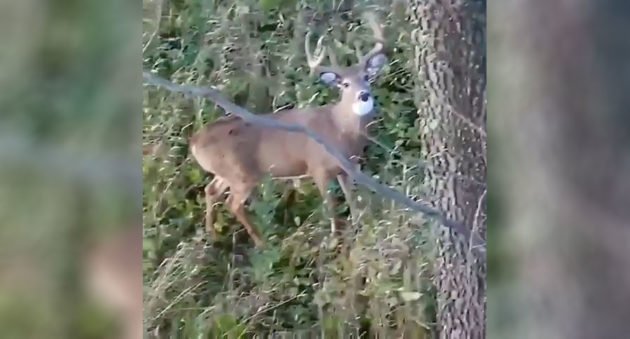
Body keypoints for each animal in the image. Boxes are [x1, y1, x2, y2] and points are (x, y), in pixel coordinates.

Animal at [190, 13, 388, 248]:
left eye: (366, 77)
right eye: (345, 84)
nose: (364, 95)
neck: (339, 130)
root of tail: (194, 142)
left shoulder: (346, 168)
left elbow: (352, 199)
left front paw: (360, 227)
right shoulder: (317, 168)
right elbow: (330, 206)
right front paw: (334, 240)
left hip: (226, 174)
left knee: (210, 190)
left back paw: (211, 235)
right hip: (241, 175)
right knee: (233, 203)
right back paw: (262, 243)